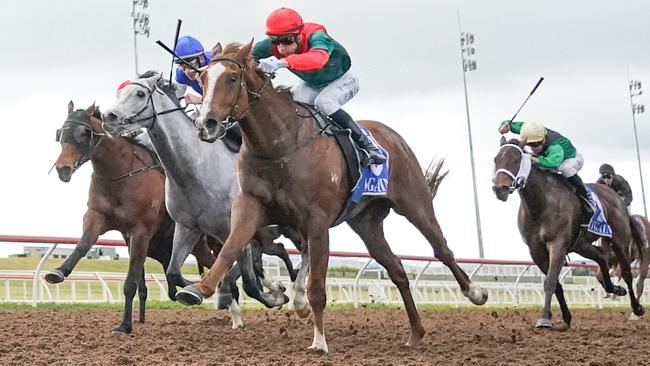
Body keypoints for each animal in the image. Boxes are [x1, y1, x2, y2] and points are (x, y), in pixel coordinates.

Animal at [50, 101, 214, 334]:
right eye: (60, 133)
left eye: (83, 133)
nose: (62, 169)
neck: (120, 175)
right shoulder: (99, 218)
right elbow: (83, 245)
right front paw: (58, 271)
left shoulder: (140, 233)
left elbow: (130, 283)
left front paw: (125, 325)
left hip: (199, 243)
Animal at [165, 41, 484, 354]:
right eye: (204, 79)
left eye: (232, 79)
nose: (206, 124)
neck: (278, 147)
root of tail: (392, 136)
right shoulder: (250, 207)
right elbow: (230, 248)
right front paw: (198, 289)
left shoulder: (316, 222)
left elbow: (316, 287)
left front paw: (319, 341)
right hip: (366, 224)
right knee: (397, 270)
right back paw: (416, 332)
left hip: (414, 203)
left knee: (442, 250)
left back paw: (474, 292)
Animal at [494, 139, 640, 328]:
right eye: (496, 160)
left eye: (515, 160)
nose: (499, 188)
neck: (540, 204)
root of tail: (614, 195)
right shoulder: (536, 251)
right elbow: (556, 284)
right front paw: (565, 316)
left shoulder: (558, 244)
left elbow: (550, 281)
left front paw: (544, 318)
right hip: (581, 244)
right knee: (601, 257)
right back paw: (614, 288)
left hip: (619, 240)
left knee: (627, 273)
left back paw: (637, 308)